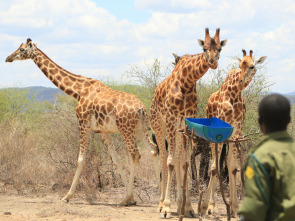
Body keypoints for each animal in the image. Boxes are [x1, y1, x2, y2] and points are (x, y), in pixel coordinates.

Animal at [5, 37, 162, 205]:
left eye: (22, 49)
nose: (8, 58)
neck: (78, 91)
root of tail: (141, 109)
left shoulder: (83, 123)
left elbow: (80, 159)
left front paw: (67, 196)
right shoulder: (102, 130)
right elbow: (116, 159)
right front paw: (131, 197)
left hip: (126, 129)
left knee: (135, 155)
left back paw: (126, 200)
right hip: (140, 128)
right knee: (153, 149)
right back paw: (159, 195)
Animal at [151, 27, 228, 218]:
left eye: (220, 49)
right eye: (204, 48)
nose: (213, 62)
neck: (186, 83)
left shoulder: (185, 121)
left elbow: (184, 162)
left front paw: (188, 207)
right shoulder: (171, 118)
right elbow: (170, 161)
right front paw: (167, 207)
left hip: (177, 128)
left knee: (178, 158)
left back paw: (181, 205)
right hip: (158, 124)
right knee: (163, 157)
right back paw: (160, 204)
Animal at [204, 49, 268, 216]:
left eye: (252, 66)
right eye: (240, 65)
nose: (240, 80)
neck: (234, 94)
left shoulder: (237, 130)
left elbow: (232, 166)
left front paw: (235, 208)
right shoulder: (219, 128)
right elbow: (215, 166)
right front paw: (208, 206)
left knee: (223, 163)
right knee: (213, 164)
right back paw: (210, 206)